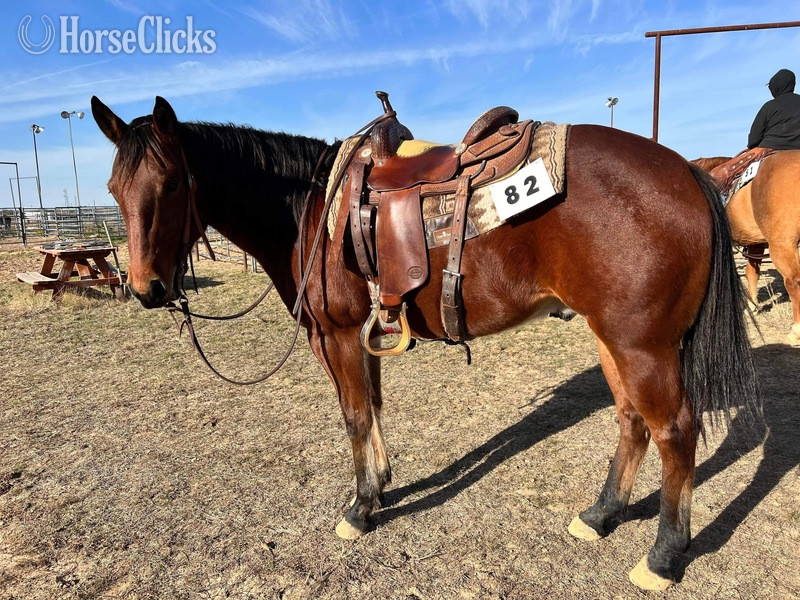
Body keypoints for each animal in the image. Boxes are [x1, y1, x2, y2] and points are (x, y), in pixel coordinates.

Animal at [91, 95, 758, 591]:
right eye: (114, 188)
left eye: (172, 183)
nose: (147, 288)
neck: (311, 209)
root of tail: (689, 173)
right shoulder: (363, 335)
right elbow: (373, 408)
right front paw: (382, 484)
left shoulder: (338, 336)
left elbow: (356, 415)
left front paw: (360, 507)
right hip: (611, 337)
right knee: (630, 419)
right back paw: (600, 516)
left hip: (642, 344)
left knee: (675, 430)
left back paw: (663, 556)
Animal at [693, 153, 800, 344]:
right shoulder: (755, 243)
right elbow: (752, 273)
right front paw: (753, 304)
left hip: (782, 244)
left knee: (793, 281)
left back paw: (796, 331)